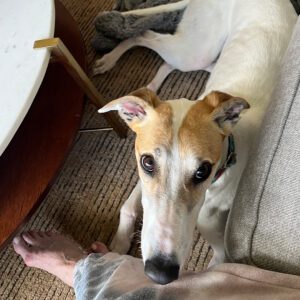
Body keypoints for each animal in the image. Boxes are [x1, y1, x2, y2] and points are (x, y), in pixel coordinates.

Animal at [96, 0, 298, 284]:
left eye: (203, 170)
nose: (160, 272)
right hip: (196, 51)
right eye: (148, 163)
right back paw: (111, 61)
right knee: (147, 36)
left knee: (156, 47)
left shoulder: (217, 238)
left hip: (198, 54)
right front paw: (118, 243)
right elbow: (128, 206)